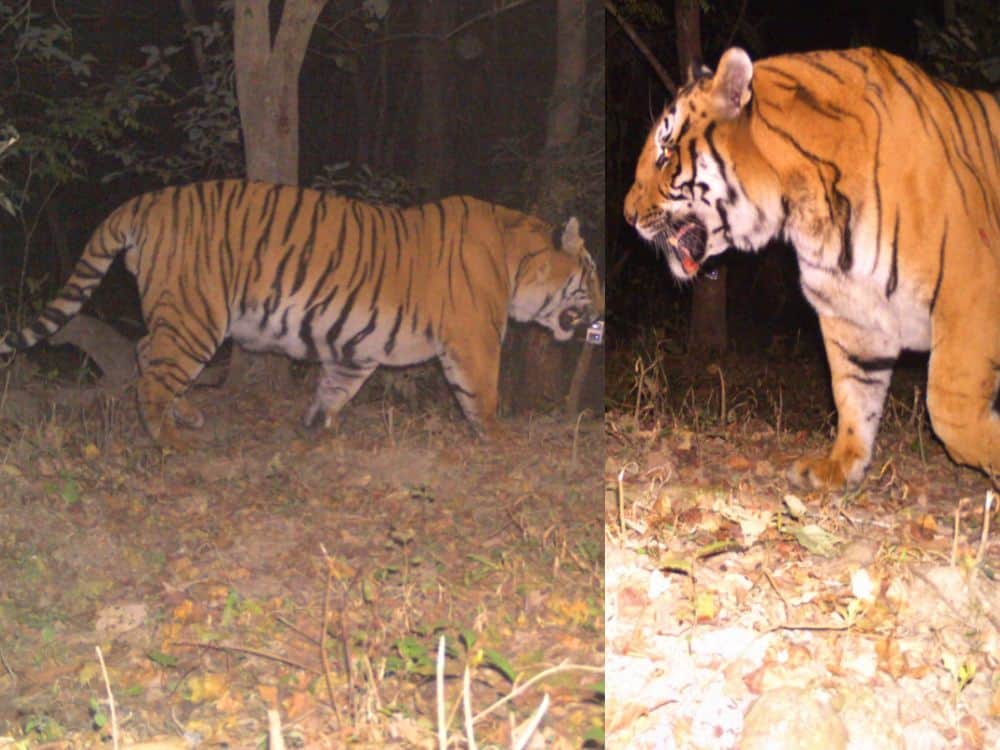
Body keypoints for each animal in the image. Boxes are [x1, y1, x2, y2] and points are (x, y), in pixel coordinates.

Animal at [0, 180, 603, 449]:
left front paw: (317, 425)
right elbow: (485, 396)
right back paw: (169, 439)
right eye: (592, 275)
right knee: (152, 376)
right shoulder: (473, 341)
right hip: (198, 317)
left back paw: (187, 416)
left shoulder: (360, 345)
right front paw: (500, 439)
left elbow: (336, 385)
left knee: (147, 352)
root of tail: (145, 200)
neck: (516, 261)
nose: (604, 309)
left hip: (183, 316)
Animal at [625, 47, 1000, 488]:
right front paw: (840, 467)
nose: (627, 215)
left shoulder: (969, 295)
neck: (805, 207)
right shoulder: (852, 313)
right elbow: (853, 394)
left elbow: (949, 409)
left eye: (665, 154)